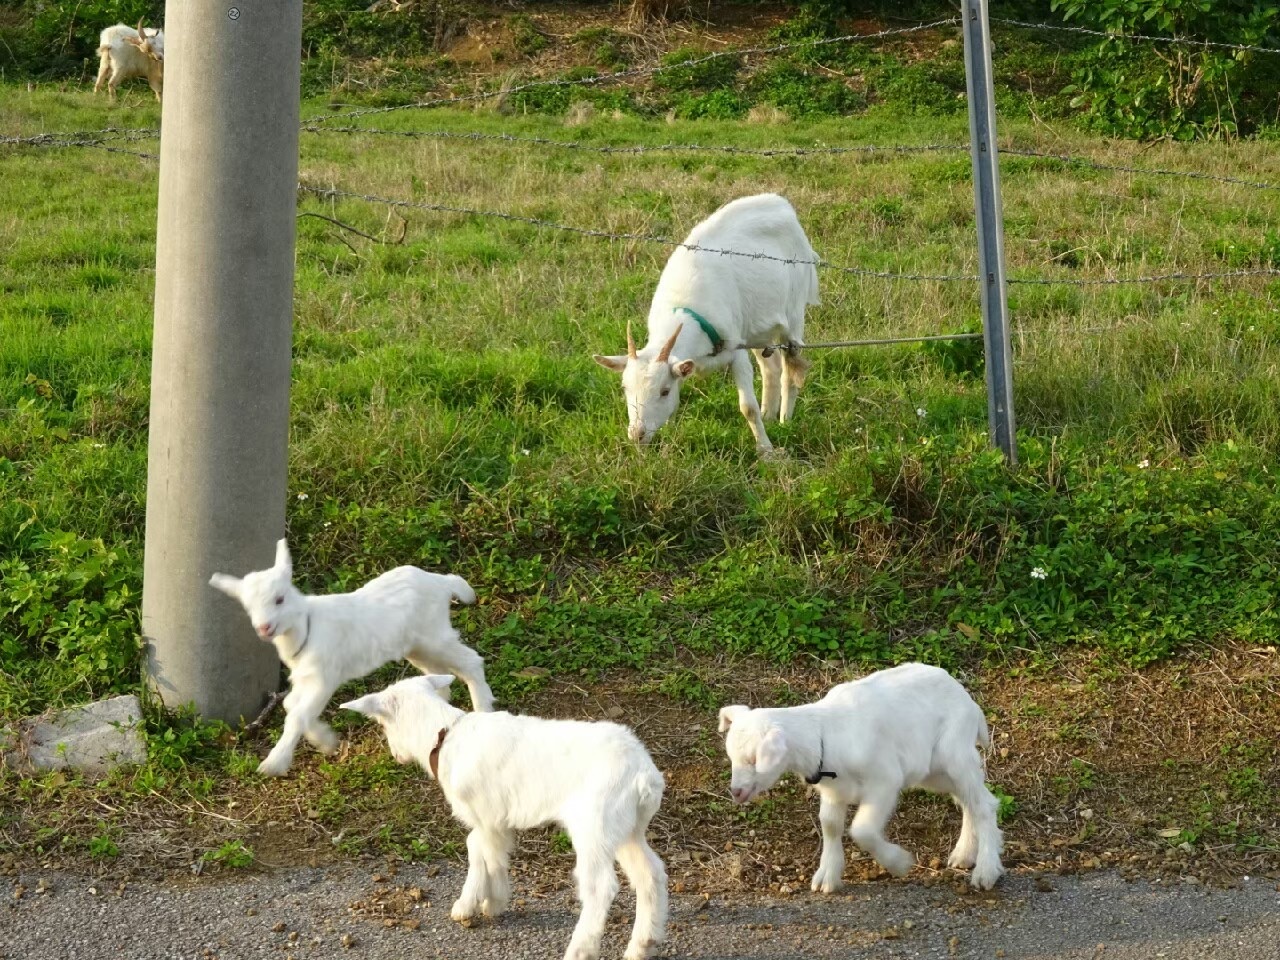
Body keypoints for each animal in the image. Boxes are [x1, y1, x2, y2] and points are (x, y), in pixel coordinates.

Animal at [591, 193, 819, 455]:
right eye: (625, 388)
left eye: (664, 391)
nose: (637, 435)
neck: (686, 310)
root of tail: (781, 204)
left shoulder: (735, 349)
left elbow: (747, 407)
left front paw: (766, 451)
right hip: (754, 326)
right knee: (771, 368)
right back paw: (769, 416)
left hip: (794, 311)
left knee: (790, 370)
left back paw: (784, 421)